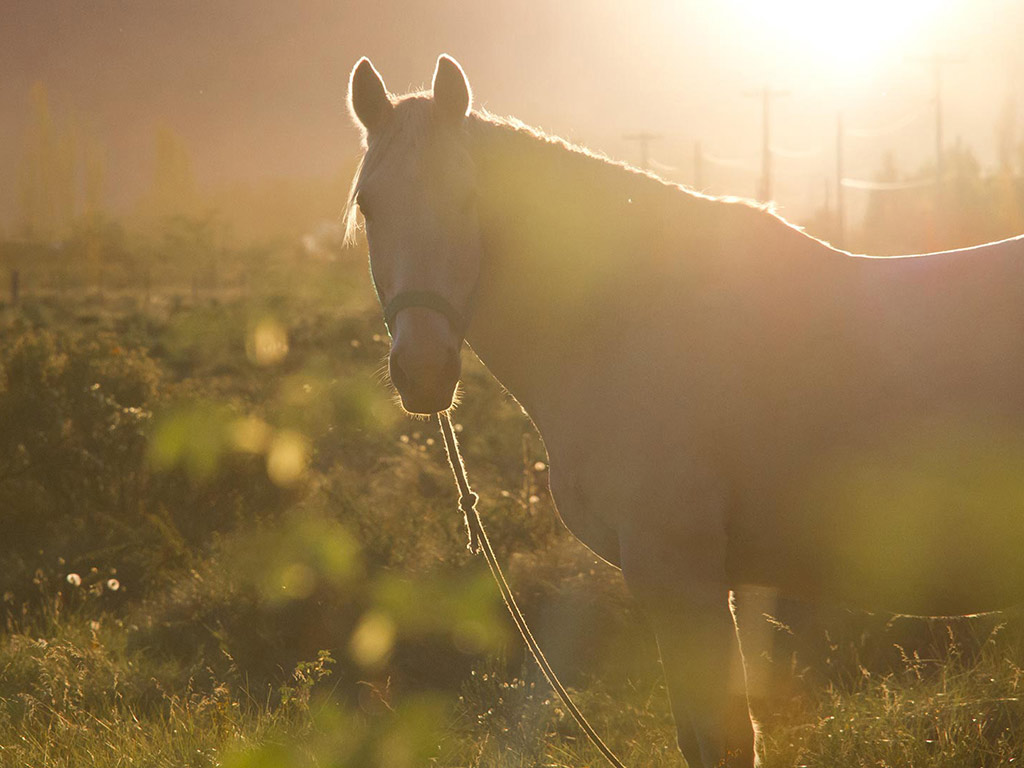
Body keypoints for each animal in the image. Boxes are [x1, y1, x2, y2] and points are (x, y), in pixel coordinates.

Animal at [346, 54, 1024, 767]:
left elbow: (721, 738)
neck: (624, 325)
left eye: (470, 198)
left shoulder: (680, 576)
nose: (423, 371)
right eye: (370, 206)